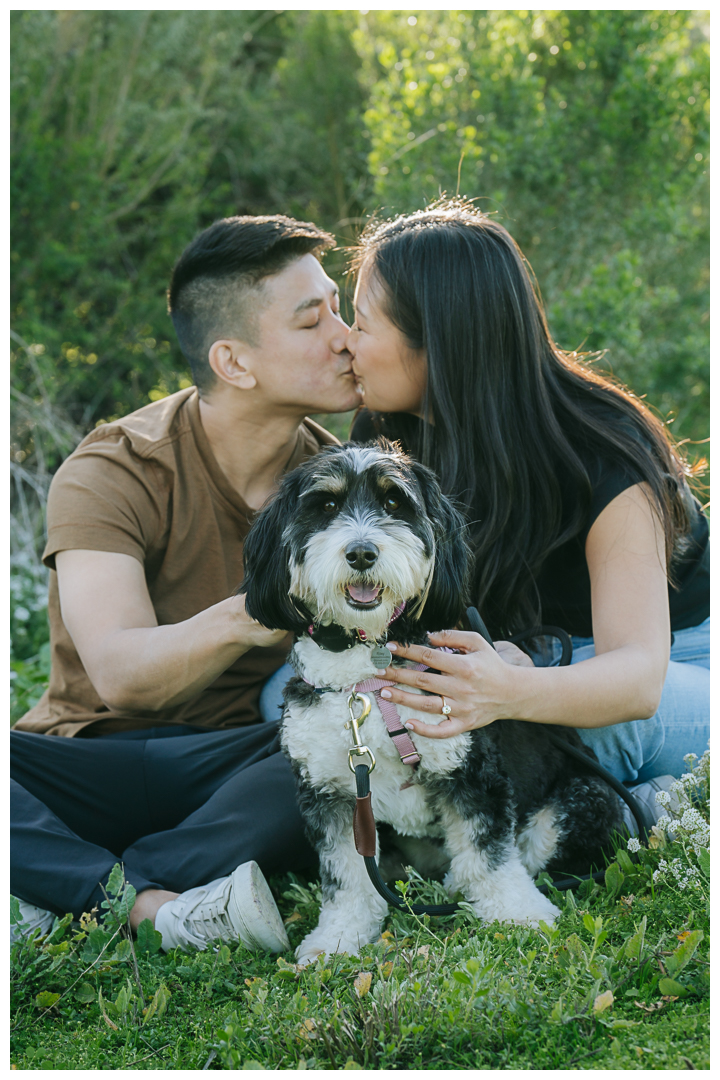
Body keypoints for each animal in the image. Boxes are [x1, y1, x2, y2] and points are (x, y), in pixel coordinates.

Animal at [241, 438, 626, 963]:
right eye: (326, 507)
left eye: (393, 503)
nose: (361, 552)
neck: (366, 675)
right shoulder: (332, 793)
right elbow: (346, 875)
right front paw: (338, 937)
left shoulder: (470, 771)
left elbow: (490, 852)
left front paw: (518, 913)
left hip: (584, 799)